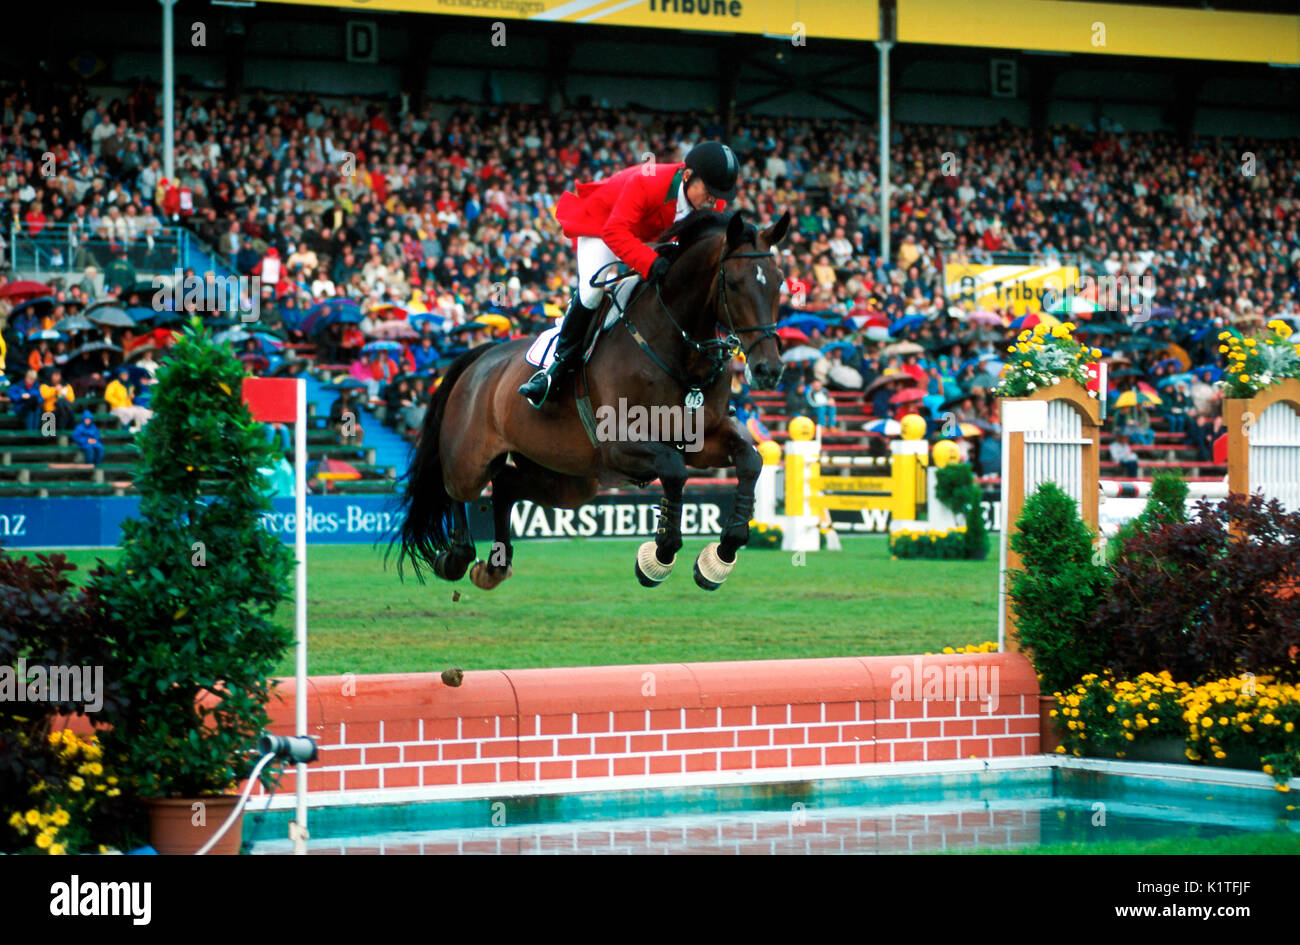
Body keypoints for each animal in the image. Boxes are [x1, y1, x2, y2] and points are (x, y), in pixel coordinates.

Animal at [390, 209, 785, 592]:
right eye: (733, 283)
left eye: (780, 283)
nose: (768, 370)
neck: (676, 347)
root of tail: (480, 357)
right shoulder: (621, 444)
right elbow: (674, 469)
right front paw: (659, 558)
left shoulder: (701, 440)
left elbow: (750, 460)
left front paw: (720, 556)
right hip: (473, 458)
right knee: (455, 488)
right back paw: (457, 556)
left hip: (568, 477)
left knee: (505, 487)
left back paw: (495, 565)